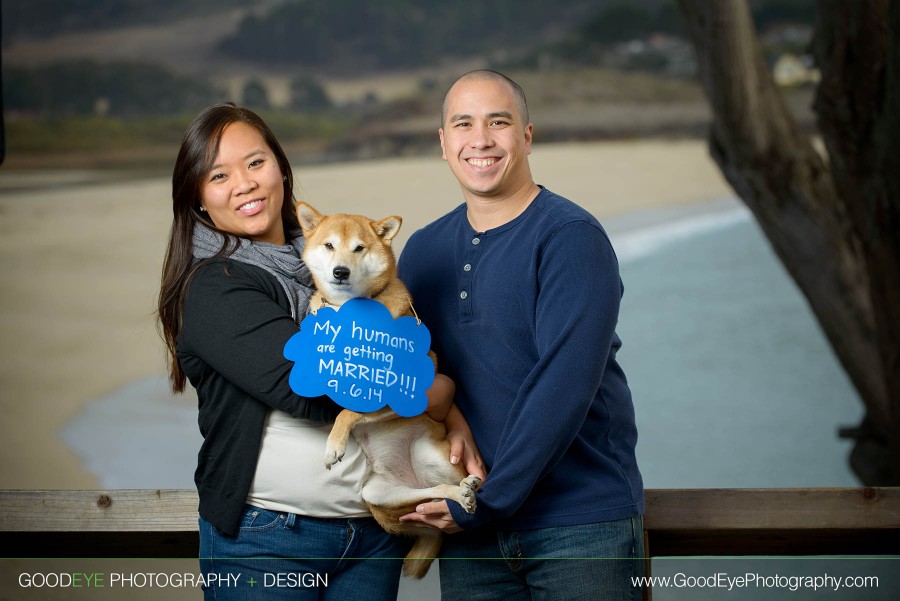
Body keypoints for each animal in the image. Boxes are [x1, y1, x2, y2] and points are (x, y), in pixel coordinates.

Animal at [296, 200, 482, 576]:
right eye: (329, 245)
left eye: (359, 248)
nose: (340, 272)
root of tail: (413, 480)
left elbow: (347, 412)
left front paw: (334, 445)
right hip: (380, 495)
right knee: (437, 494)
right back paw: (457, 495)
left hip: (434, 456)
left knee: (451, 486)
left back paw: (467, 489)